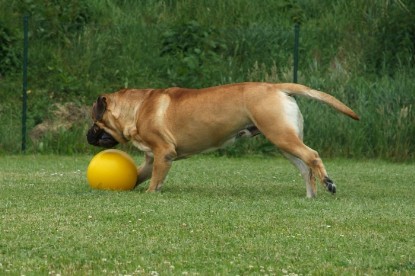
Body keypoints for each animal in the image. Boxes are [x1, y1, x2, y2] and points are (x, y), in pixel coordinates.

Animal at [86, 81, 360, 197]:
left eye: (95, 123)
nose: (87, 135)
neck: (137, 107)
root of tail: (275, 86)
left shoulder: (164, 153)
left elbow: (155, 182)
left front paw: (151, 194)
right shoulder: (153, 159)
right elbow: (139, 176)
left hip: (282, 136)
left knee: (313, 156)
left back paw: (329, 184)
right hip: (285, 141)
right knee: (305, 168)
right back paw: (310, 196)